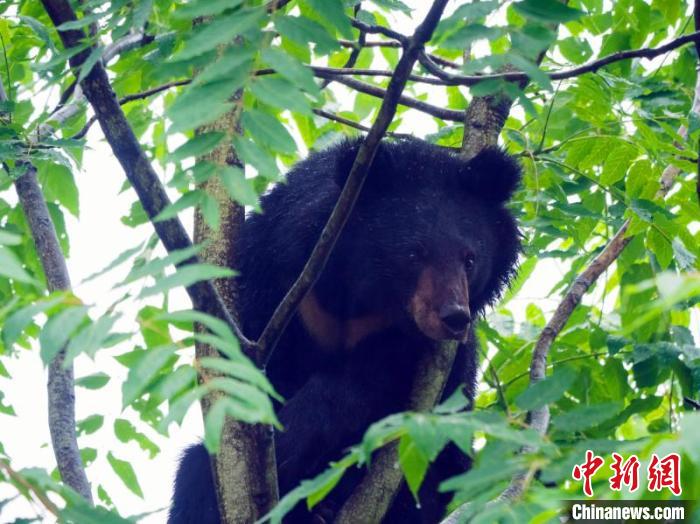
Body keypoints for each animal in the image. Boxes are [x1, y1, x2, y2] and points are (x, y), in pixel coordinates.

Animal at [168, 137, 520, 520]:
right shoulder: (274, 283)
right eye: (414, 254)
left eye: (470, 259)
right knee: (194, 476)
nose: (454, 317)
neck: (360, 296)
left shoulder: (432, 354)